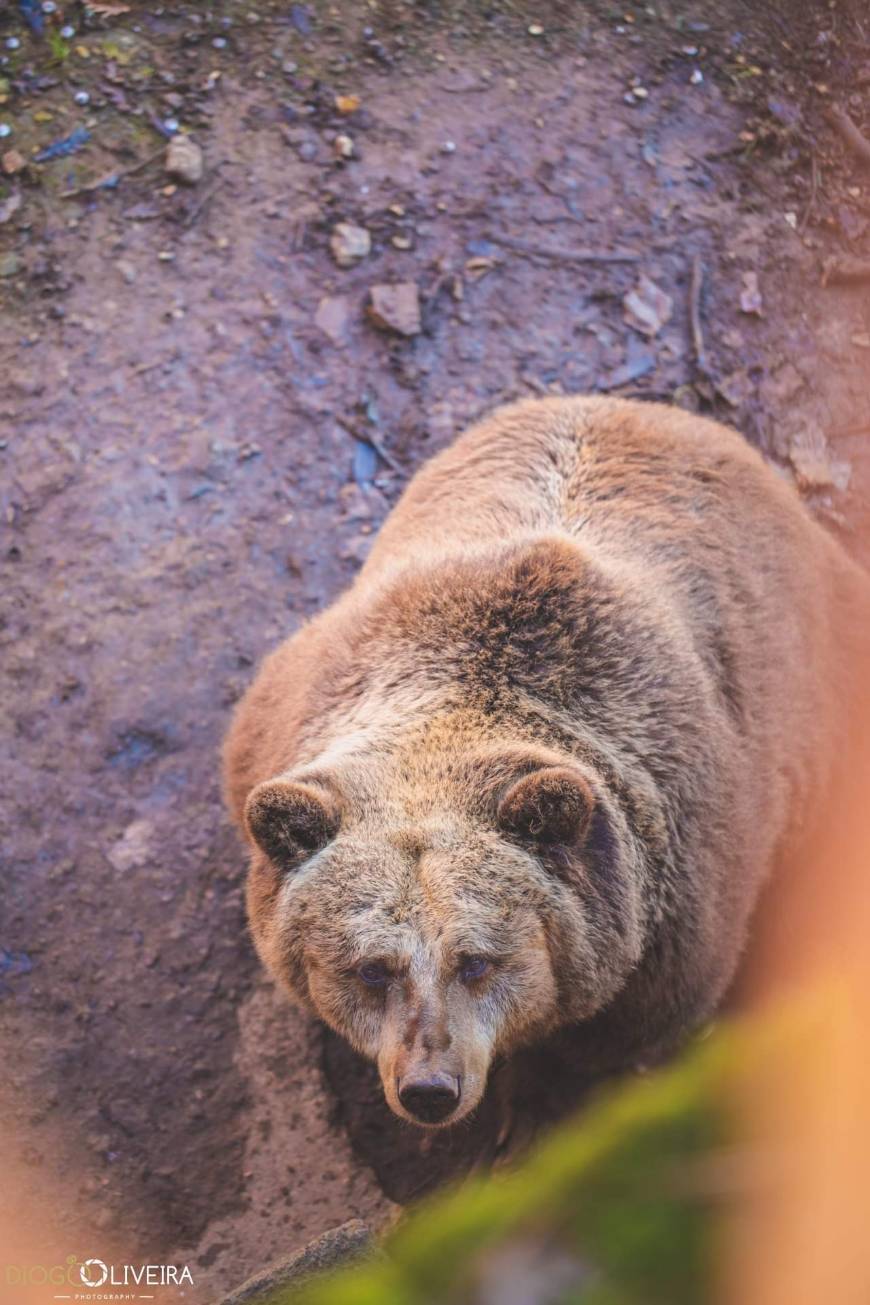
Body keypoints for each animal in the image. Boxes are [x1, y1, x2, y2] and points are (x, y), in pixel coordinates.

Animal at [224, 394, 870, 1132]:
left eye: (476, 961)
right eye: (372, 967)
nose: (429, 1088)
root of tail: (639, 408)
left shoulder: (675, 908)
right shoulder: (285, 716)